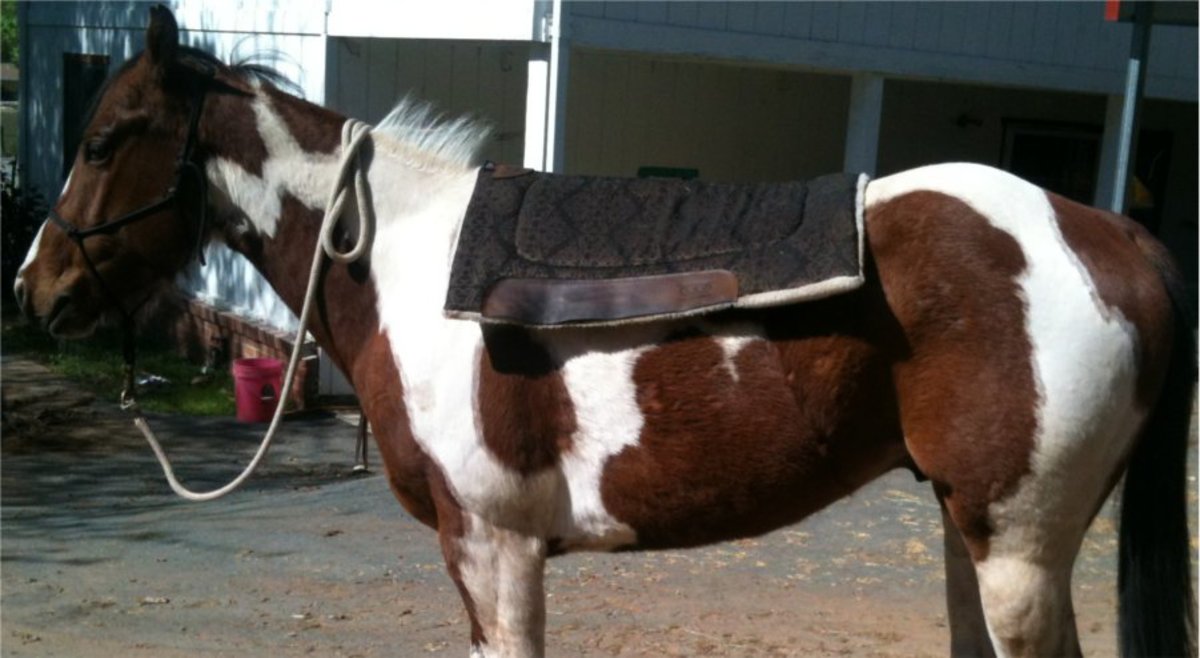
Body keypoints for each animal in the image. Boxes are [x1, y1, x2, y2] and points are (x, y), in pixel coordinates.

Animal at [13, 7, 1195, 657]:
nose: (34, 288)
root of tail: (1113, 235)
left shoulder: (490, 545)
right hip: (971, 531)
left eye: (106, 137)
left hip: (1018, 553)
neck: (408, 260)